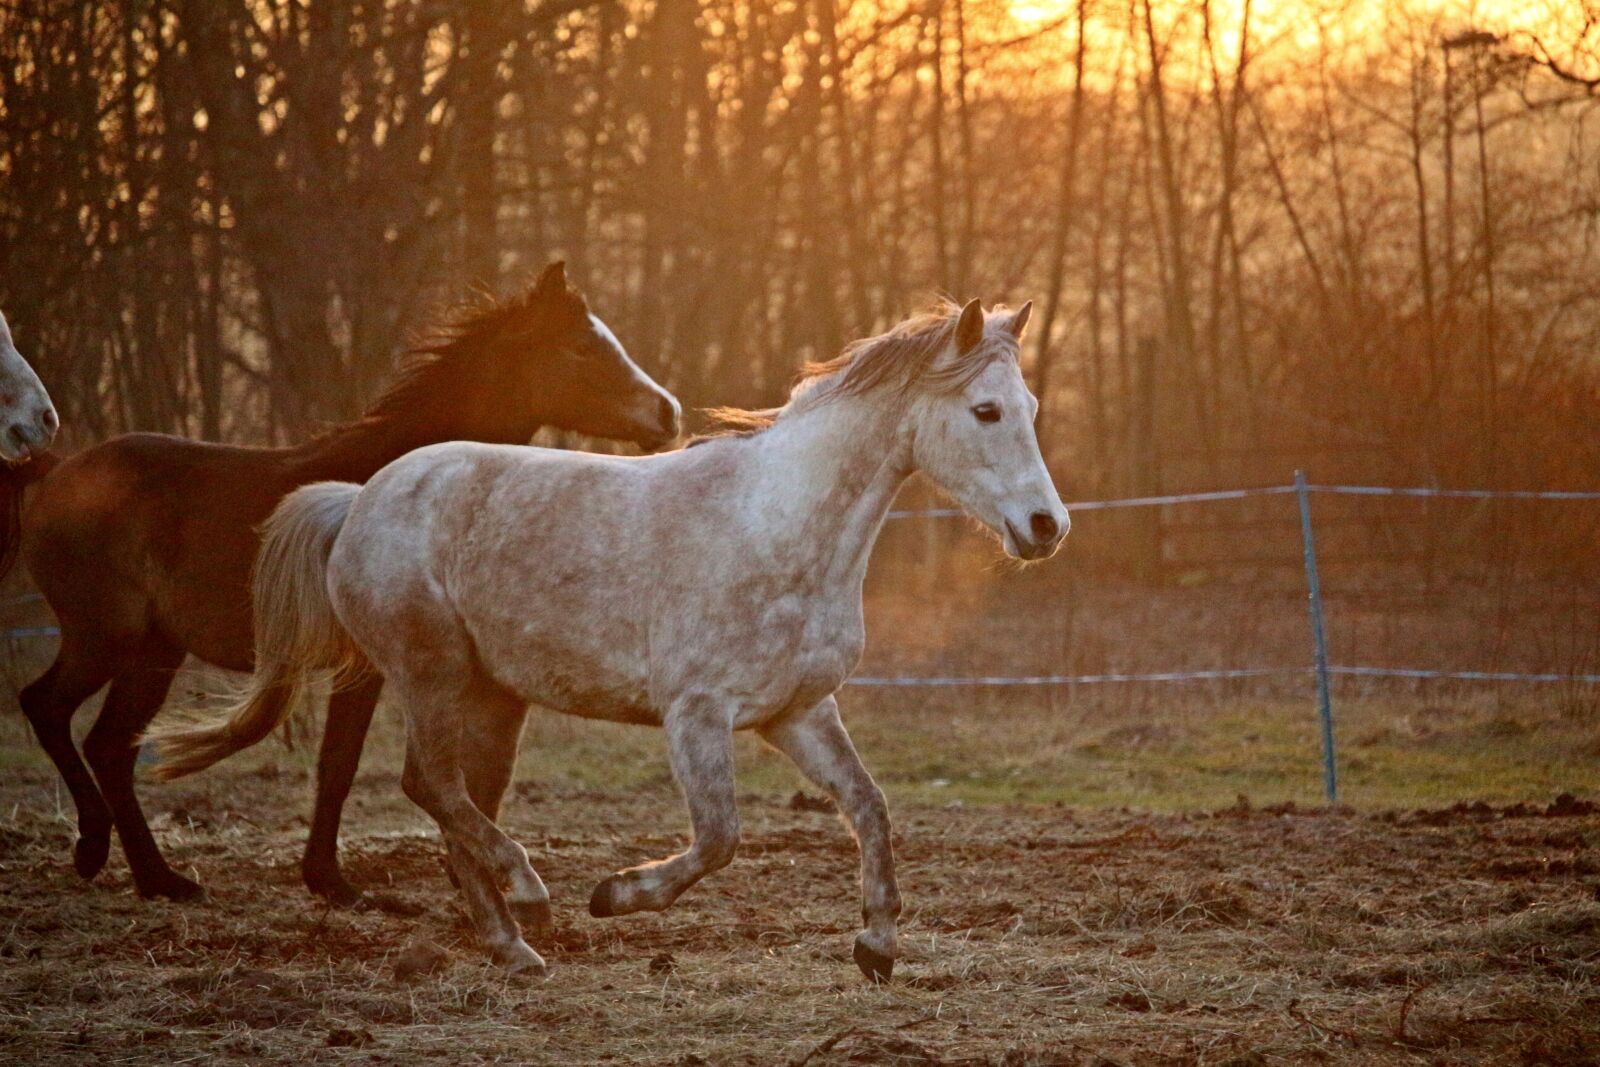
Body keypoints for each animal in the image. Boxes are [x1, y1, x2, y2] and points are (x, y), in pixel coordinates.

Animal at [7, 262, 680, 904]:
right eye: (581, 348)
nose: (669, 413)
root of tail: (56, 469)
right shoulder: (366, 668)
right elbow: (344, 762)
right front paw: (334, 882)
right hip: (107, 639)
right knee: (52, 711)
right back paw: (102, 851)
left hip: (152, 650)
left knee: (109, 744)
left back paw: (156, 877)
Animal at [152, 297, 1068, 980]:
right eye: (985, 410)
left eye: (1028, 409)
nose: (1045, 527)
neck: (777, 524)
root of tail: (357, 499)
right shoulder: (695, 713)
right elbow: (719, 836)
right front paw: (616, 895)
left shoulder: (798, 712)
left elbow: (869, 807)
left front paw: (876, 945)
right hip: (430, 673)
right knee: (431, 786)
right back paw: (530, 896)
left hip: (492, 695)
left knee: (455, 807)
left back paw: (514, 948)